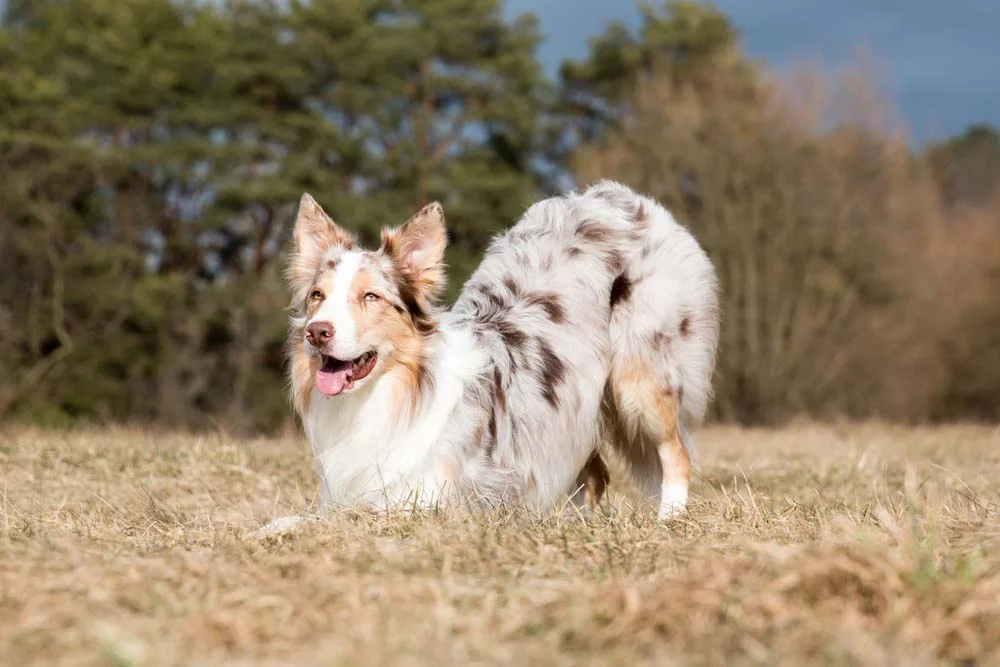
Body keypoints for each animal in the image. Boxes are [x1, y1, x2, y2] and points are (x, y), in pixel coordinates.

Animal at [284, 179, 720, 520]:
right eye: (318, 296)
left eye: (370, 296)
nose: (317, 333)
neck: (392, 392)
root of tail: (628, 198)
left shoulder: (430, 501)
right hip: (572, 406)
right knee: (593, 476)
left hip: (639, 377)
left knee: (675, 453)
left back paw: (668, 519)